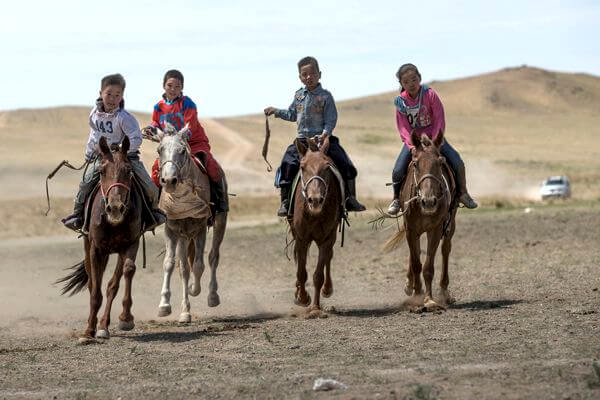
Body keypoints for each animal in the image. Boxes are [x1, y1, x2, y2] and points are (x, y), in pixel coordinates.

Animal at [57, 136, 144, 342]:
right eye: (101, 171)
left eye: (128, 170)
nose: (115, 208)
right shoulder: (96, 249)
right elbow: (95, 291)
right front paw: (88, 331)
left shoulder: (131, 243)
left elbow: (126, 273)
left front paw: (125, 318)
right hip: (90, 247)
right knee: (92, 284)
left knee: (112, 284)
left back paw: (104, 325)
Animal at [145, 122, 227, 322]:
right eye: (159, 150)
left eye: (182, 150)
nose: (169, 180)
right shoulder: (171, 229)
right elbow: (170, 264)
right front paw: (166, 306)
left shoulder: (200, 228)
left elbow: (198, 266)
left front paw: (195, 290)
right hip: (183, 236)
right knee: (184, 267)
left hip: (219, 223)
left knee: (213, 257)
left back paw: (212, 295)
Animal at [290, 136, 342, 318]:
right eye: (302, 167)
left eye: (327, 167)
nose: (315, 200)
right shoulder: (302, 238)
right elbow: (301, 271)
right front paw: (303, 298)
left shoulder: (327, 238)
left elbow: (318, 275)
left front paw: (315, 307)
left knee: (328, 258)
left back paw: (327, 289)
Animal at [382, 130, 458, 310]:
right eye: (415, 164)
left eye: (440, 163)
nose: (429, 201)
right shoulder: (411, 229)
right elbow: (416, 263)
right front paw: (417, 296)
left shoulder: (435, 230)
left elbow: (428, 266)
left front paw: (429, 300)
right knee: (413, 254)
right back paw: (411, 286)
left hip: (450, 223)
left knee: (446, 249)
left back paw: (444, 291)